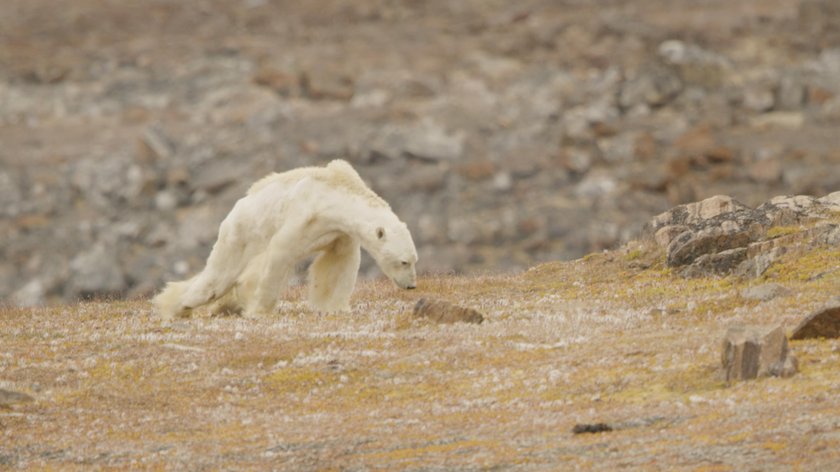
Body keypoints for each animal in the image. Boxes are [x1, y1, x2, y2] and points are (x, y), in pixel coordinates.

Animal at [153, 160, 418, 318]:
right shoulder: (303, 215)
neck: (334, 195)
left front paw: (335, 306)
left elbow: (338, 264)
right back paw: (178, 306)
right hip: (240, 235)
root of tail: (234, 209)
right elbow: (280, 255)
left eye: (414, 260)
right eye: (404, 262)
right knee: (216, 279)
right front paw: (258, 308)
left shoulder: (339, 232)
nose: (411, 285)